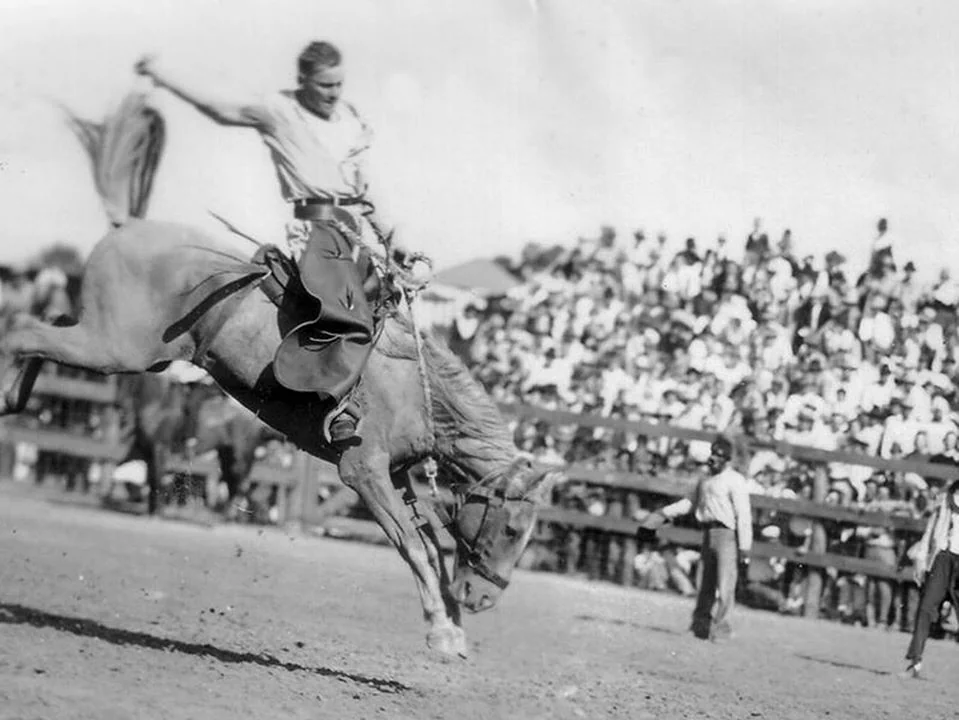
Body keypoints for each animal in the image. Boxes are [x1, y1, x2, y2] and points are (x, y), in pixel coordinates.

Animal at [3, 90, 564, 660]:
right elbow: (411, 542)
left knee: (43, 328)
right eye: (514, 529)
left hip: (111, 340)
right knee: (21, 331)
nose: (483, 599)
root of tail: (128, 226)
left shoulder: (398, 476)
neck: (417, 390)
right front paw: (442, 628)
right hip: (114, 348)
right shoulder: (362, 471)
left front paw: (451, 622)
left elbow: (427, 541)